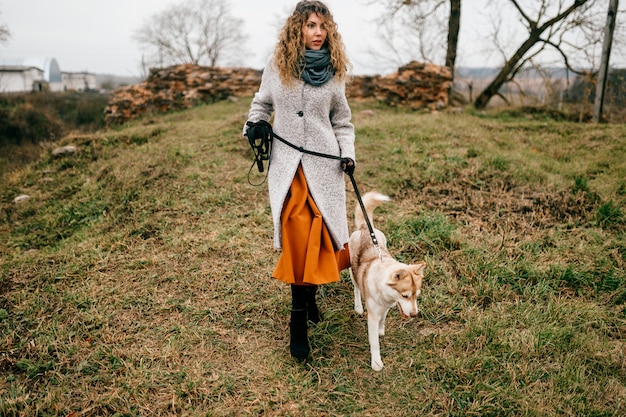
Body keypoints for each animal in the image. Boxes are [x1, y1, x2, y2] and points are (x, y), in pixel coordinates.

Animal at [346, 192, 424, 370]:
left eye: (417, 296)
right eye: (405, 296)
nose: (415, 315)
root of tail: (364, 228)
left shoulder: (386, 307)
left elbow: (383, 319)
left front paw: (381, 330)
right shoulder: (372, 317)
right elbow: (374, 342)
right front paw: (376, 362)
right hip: (352, 272)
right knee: (356, 288)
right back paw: (358, 306)